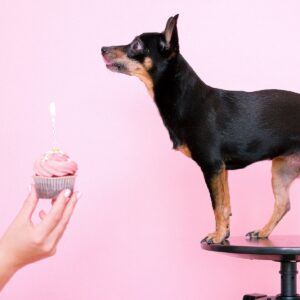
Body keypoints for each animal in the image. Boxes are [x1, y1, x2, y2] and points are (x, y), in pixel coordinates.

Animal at [102, 14, 300, 244]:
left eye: (136, 45)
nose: (103, 48)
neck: (186, 98)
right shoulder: (221, 170)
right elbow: (225, 204)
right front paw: (223, 233)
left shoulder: (212, 166)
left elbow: (217, 205)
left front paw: (218, 235)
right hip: (281, 170)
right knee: (283, 204)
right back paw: (262, 231)